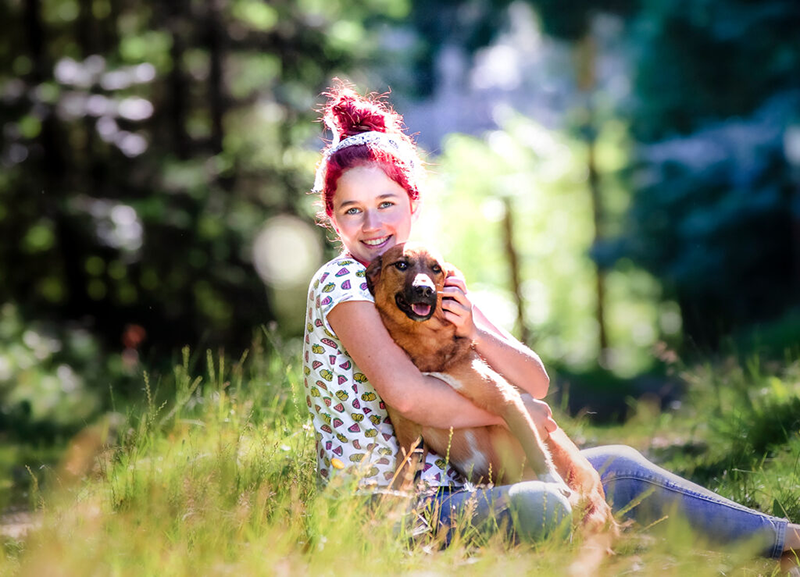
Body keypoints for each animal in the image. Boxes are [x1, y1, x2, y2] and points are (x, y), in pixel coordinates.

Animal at [366, 240, 616, 536]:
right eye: (401, 264)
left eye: (436, 269)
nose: (425, 289)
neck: (426, 344)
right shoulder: (409, 440)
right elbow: (399, 482)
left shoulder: (507, 400)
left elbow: (537, 452)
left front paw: (553, 481)